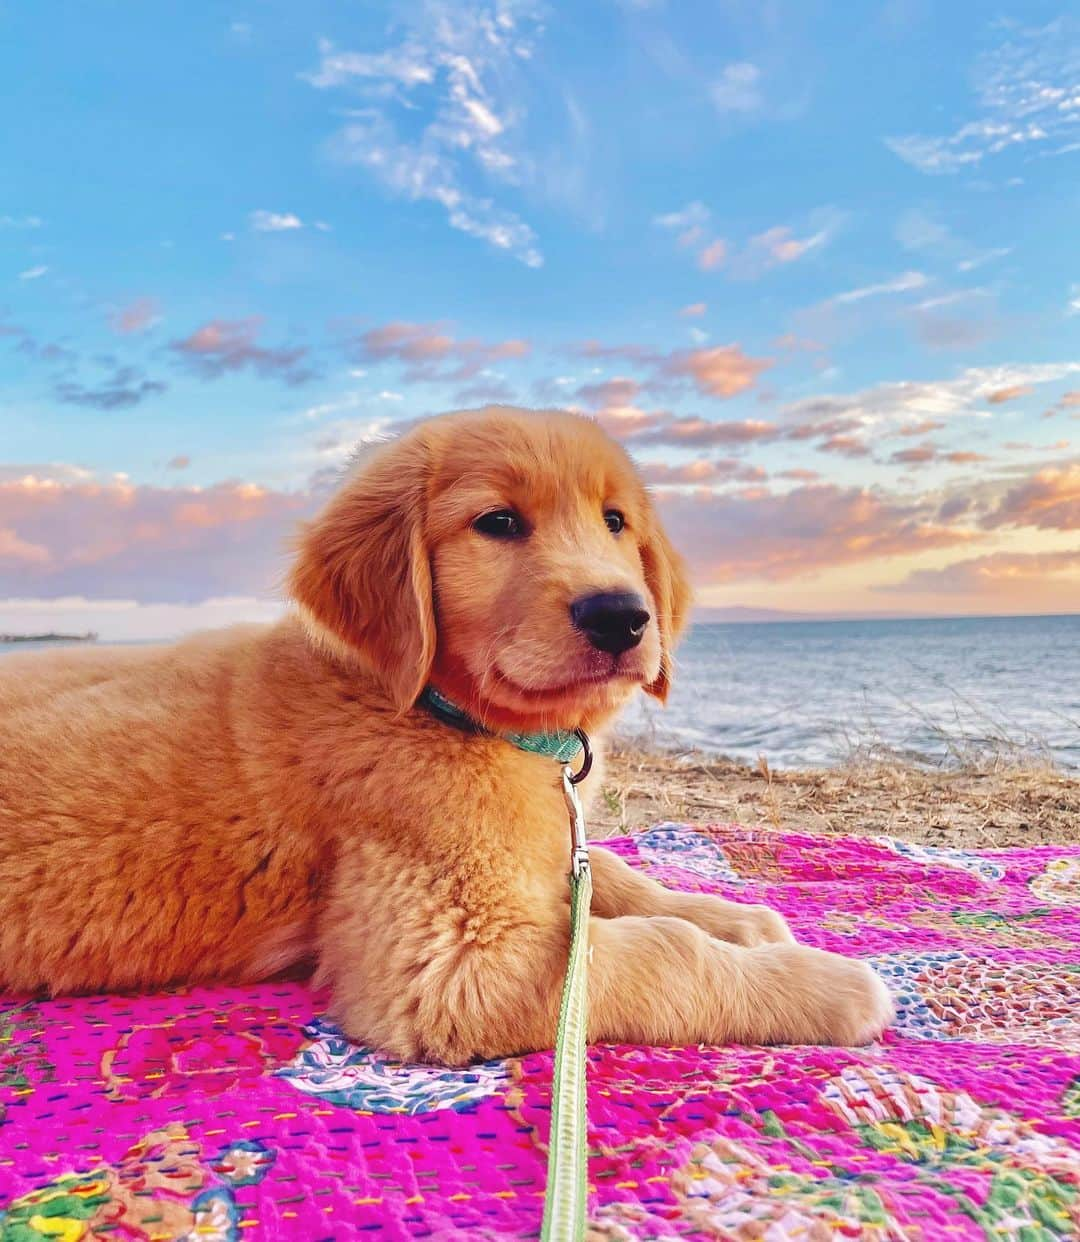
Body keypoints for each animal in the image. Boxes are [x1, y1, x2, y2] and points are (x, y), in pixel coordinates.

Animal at [0, 409, 893, 1068]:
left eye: (615, 522)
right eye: (497, 522)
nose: (623, 615)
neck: (439, 710)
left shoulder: (542, 843)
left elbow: (609, 873)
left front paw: (731, 917)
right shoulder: (447, 967)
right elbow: (663, 952)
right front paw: (826, 984)